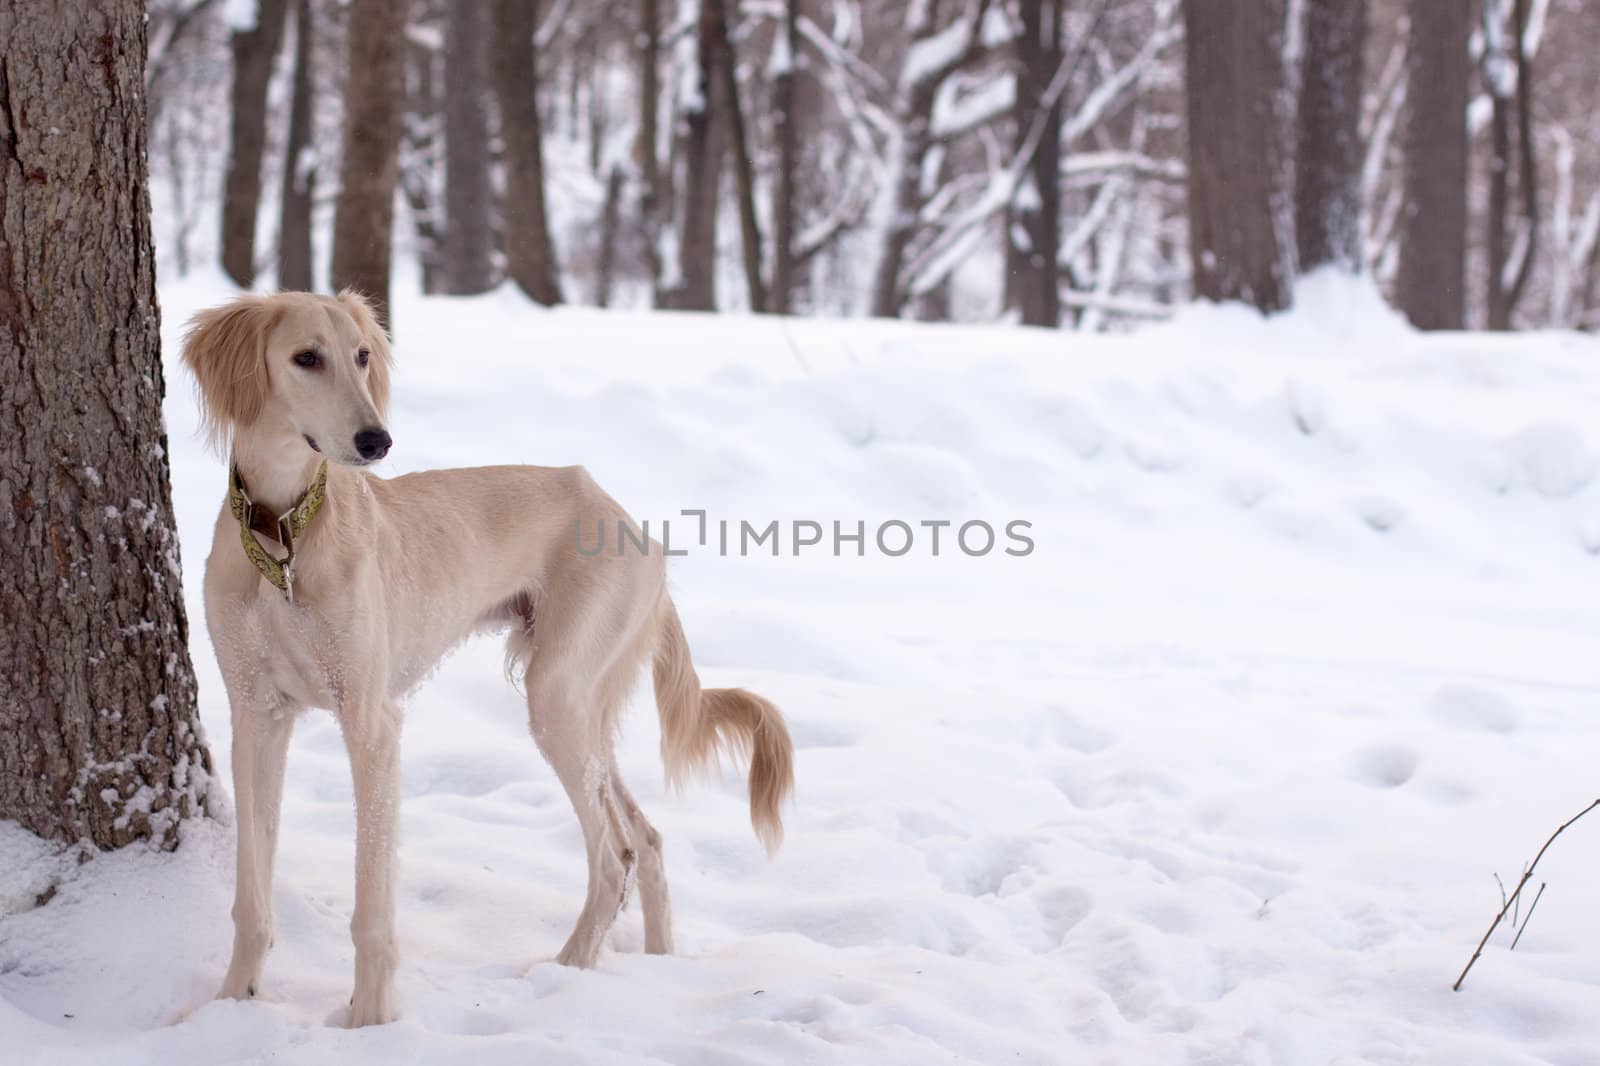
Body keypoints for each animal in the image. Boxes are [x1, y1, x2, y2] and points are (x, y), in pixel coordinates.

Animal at [181, 291, 793, 1024]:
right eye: (306, 357)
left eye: (362, 355)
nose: (377, 441)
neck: (283, 540)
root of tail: (633, 525)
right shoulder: (257, 716)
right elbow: (251, 894)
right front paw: (232, 1004)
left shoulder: (370, 722)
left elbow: (372, 902)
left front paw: (370, 1020)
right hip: (581, 704)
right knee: (646, 837)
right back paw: (656, 964)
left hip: (556, 695)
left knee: (614, 854)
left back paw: (566, 972)